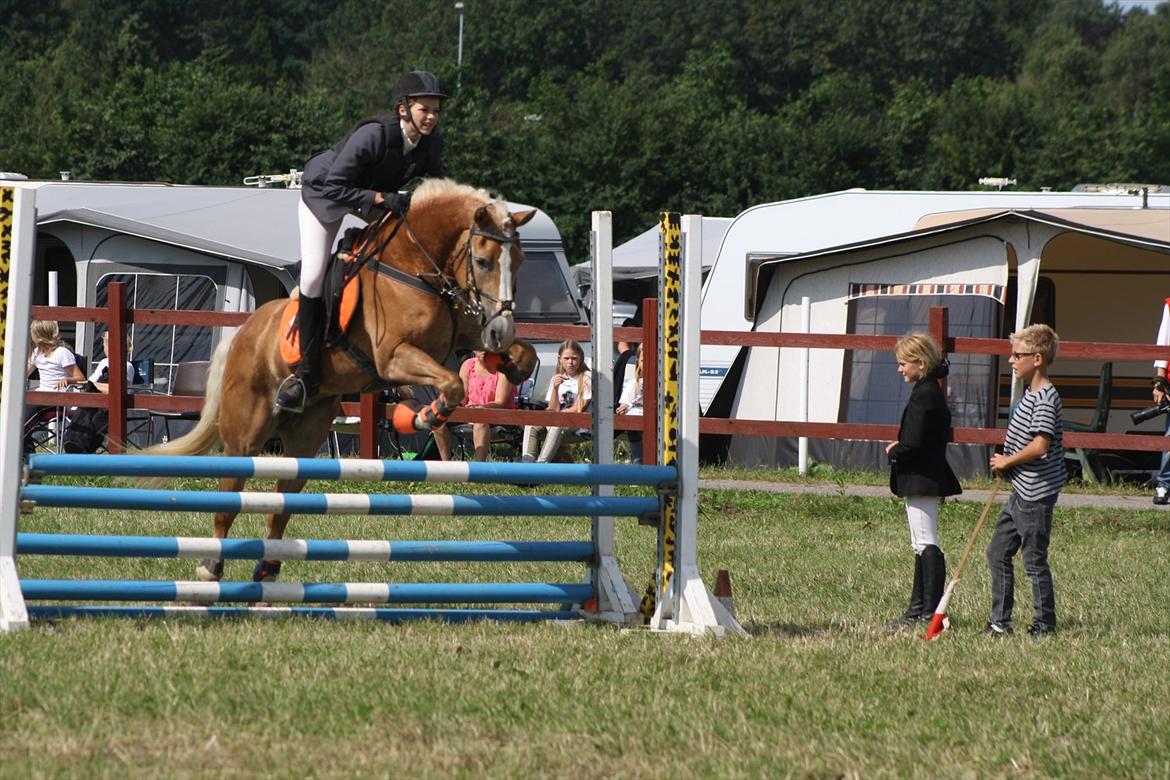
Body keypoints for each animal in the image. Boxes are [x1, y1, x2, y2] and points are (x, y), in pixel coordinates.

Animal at [148, 180, 540, 582]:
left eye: (520, 261)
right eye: (482, 262)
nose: (501, 330)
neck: (414, 268)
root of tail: (242, 334)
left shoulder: (462, 336)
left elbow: (523, 357)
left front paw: (507, 364)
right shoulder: (393, 356)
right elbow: (452, 385)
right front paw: (420, 415)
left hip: (306, 437)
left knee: (282, 500)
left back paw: (268, 567)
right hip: (245, 433)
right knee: (230, 496)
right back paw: (211, 565)